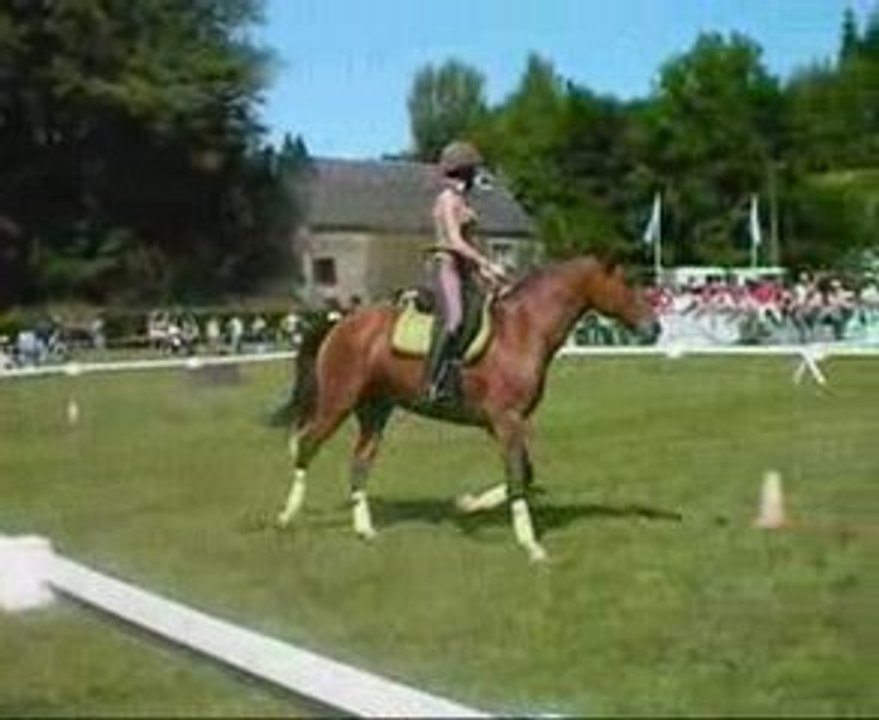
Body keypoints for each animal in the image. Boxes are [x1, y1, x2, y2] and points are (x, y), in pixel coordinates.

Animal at [272, 255, 660, 562]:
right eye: (627, 282)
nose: (654, 327)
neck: (524, 329)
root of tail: (341, 321)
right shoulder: (506, 421)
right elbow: (518, 476)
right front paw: (531, 545)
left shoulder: (502, 423)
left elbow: (524, 473)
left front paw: (469, 504)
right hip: (338, 402)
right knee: (306, 444)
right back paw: (286, 517)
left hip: (375, 410)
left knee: (360, 460)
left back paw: (364, 530)